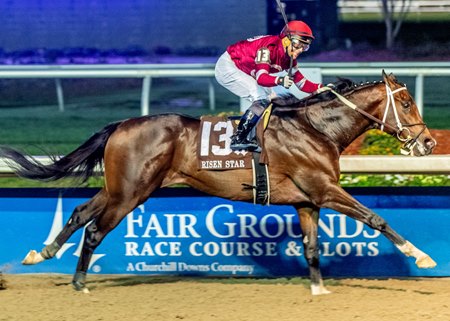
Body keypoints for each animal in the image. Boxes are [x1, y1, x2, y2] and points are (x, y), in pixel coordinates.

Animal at [0, 70, 436, 292]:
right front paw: (421, 256)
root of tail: (121, 125)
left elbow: (312, 247)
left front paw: (318, 289)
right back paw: (79, 283)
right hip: (132, 193)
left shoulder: (306, 200)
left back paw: (40, 253)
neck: (316, 128)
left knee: (78, 212)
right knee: (93, 229)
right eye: (407, 102)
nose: (429, 142)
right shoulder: (325, 190)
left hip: (120, 187)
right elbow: (376, 219)